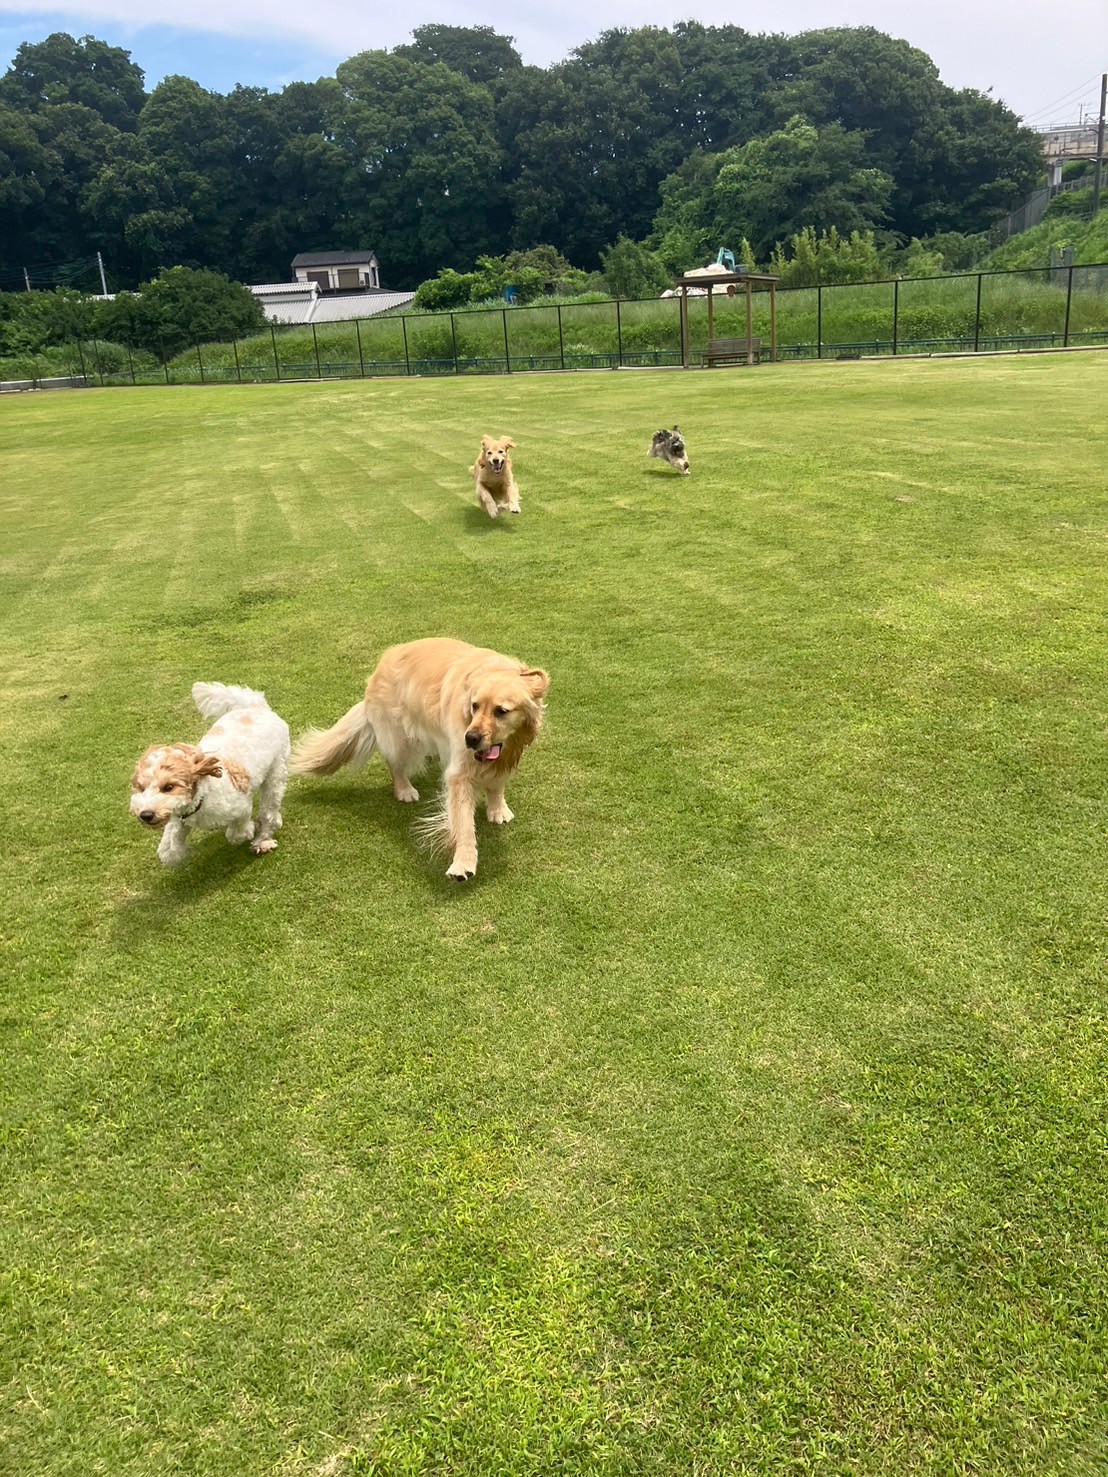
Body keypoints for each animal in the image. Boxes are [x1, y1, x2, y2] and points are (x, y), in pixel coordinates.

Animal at [130, 682, 290, 867]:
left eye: (168, 787)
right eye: (141, 788)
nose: (146, 815)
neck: (202, 798)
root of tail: (255, 707)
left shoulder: (240, 807)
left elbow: (238, 831)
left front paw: (244, 832)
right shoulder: (179, 820)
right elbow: (168, 850)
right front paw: (179, 853)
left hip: (276, 772)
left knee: (270, 813)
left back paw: (263, 840)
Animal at [291, 638, 548, 881]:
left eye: (501, 711)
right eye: (474, 706)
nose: (471, 738)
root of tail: (380, 666)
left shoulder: (505, 755)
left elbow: (496, 784)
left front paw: (497, 809)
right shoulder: (459, 774)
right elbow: (464, 824)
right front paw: (463, 863)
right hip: (401, 739)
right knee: (395, 763)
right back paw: (404, 789)